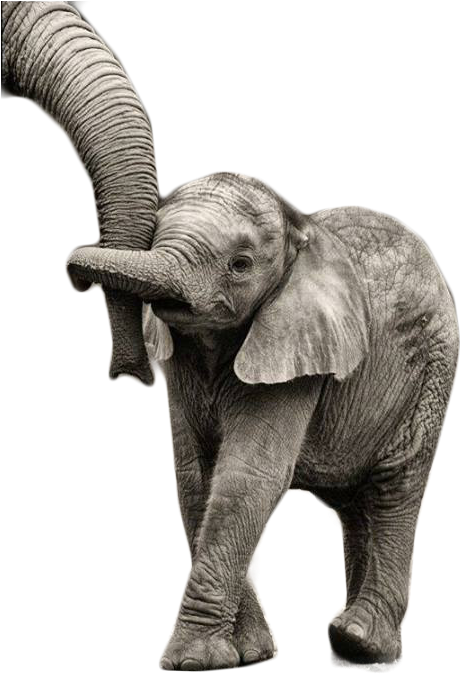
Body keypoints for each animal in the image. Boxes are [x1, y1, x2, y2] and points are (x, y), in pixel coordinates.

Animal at [65, 170, 459, 670]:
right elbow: (197, 480)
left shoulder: (297, 348)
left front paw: (191, 662)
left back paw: (363, 641)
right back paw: (346, 641)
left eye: (241, 264)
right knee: (355, 508)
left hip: (431, 372)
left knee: (395, 488)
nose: (78, 278)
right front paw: (250, 654)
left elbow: (246, 477)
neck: (299, 234)